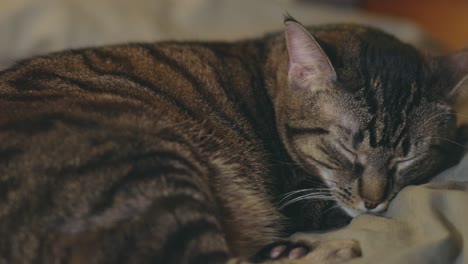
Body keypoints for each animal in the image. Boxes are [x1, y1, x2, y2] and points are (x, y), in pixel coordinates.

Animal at [0, 17, 468, 262]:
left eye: (407, 157)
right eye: (348, 144)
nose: (373, 201)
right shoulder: (306, 201)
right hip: (152, 168)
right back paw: (326, 252)